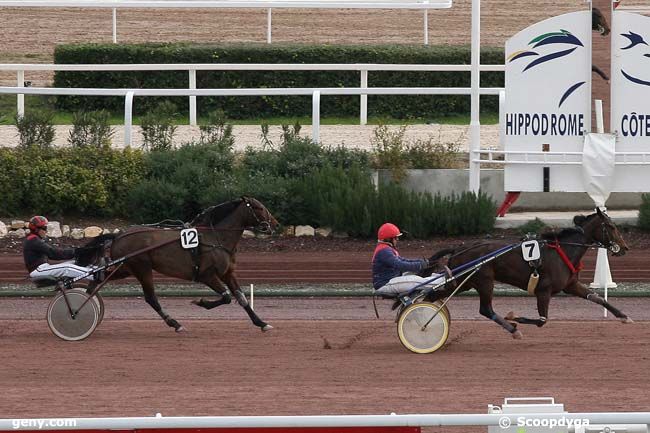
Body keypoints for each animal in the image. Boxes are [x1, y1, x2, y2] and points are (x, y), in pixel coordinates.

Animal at [95, 197, 278, 332]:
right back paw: (175, 323)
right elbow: (226, 297)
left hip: (125, 268)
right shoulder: (207, 275)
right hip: (142, 268)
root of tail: (119, 236)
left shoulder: (227, 273)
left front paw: (261, 323)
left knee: (97, 281)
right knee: (151, 298)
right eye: (259, 208)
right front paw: (201, 302)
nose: (275, 224)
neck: (216, 237)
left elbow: (242, 298)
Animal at [420, 208, 628, 338]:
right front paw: (513, 317)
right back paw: (513, 329)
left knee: (432, 296)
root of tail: (458, 249)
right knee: (485, 309)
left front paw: (623, 316)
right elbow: (542, 320)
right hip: (484, 281)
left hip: (465, 282)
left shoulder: (571, 285)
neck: (563, 250)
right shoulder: (543, 291)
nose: (625, 248)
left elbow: (598, 298)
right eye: (611, 227)